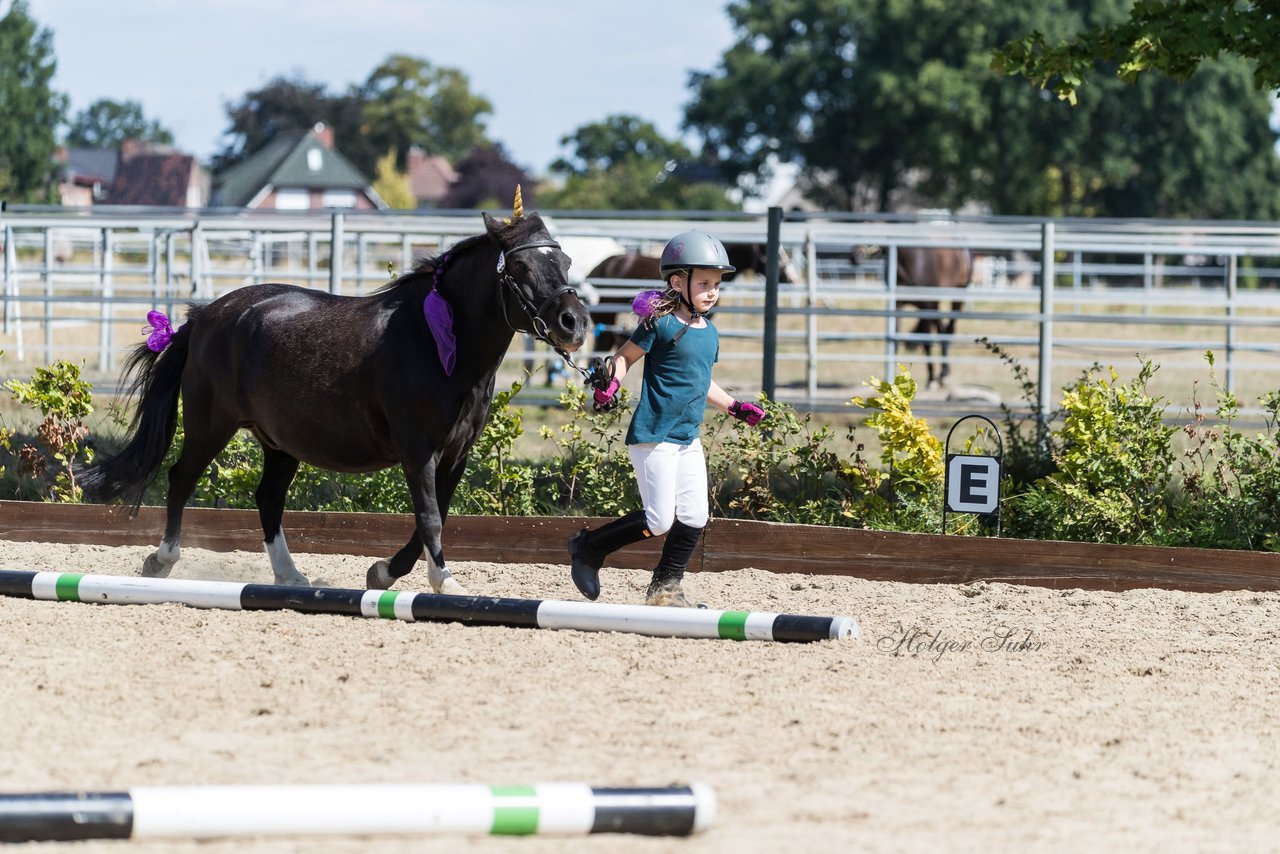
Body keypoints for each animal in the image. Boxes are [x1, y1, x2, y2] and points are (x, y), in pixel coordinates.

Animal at [82, 207, 591, 594]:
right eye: (521, 268)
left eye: (565, 262)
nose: (574, 323)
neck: (436, 343)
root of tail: (206, 316)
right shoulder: (418, 450)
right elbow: (429, 516)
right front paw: (443, 580)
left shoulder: (456, 454)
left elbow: (437, 516)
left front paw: (383, 572)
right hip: (211, 424)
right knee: (181, 478)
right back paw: (162, 560)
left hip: (279, 443)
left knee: (268, 497)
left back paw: (290, 575)